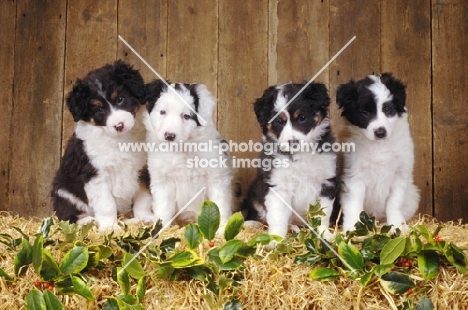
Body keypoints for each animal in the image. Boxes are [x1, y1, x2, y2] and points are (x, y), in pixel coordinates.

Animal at [52, 60, 153, 230]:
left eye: (120, 99)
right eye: (99, 109)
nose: (119, 125)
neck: (120, 139)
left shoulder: (141, 170)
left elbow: (143, 198)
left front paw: (145, 219)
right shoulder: (95, 176)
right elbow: (107, 204)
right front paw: (110, 228)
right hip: (64, 192)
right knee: (69, 216)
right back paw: (89, 221)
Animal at [144, 80, 233, 228]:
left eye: (186, 116)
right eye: (163, 112)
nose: (169, 136)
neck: (182, 148)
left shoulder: (216, 176)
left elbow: (220, 204)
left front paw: (222, 229)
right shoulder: (162, 180)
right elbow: (163, 207)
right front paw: (161, 229)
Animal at [243, 82, 338, 247]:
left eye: (302, 117)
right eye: (279, 121)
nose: (292, 142)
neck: (300, 154)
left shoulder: (326, 183)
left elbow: (323, 214)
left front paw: (325, 235)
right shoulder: (278, 186)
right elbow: (278, 217)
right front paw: (275, 241)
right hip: (255, 192)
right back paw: (252, 224)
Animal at [336, 73, 420, 232]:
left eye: (387, 109)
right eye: (365, 112)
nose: (380, 132)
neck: (379, 146)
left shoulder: (400, 175)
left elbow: (394, 203)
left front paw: (397, 226)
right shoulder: (354, 177)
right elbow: (354, 204)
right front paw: (354, 228)